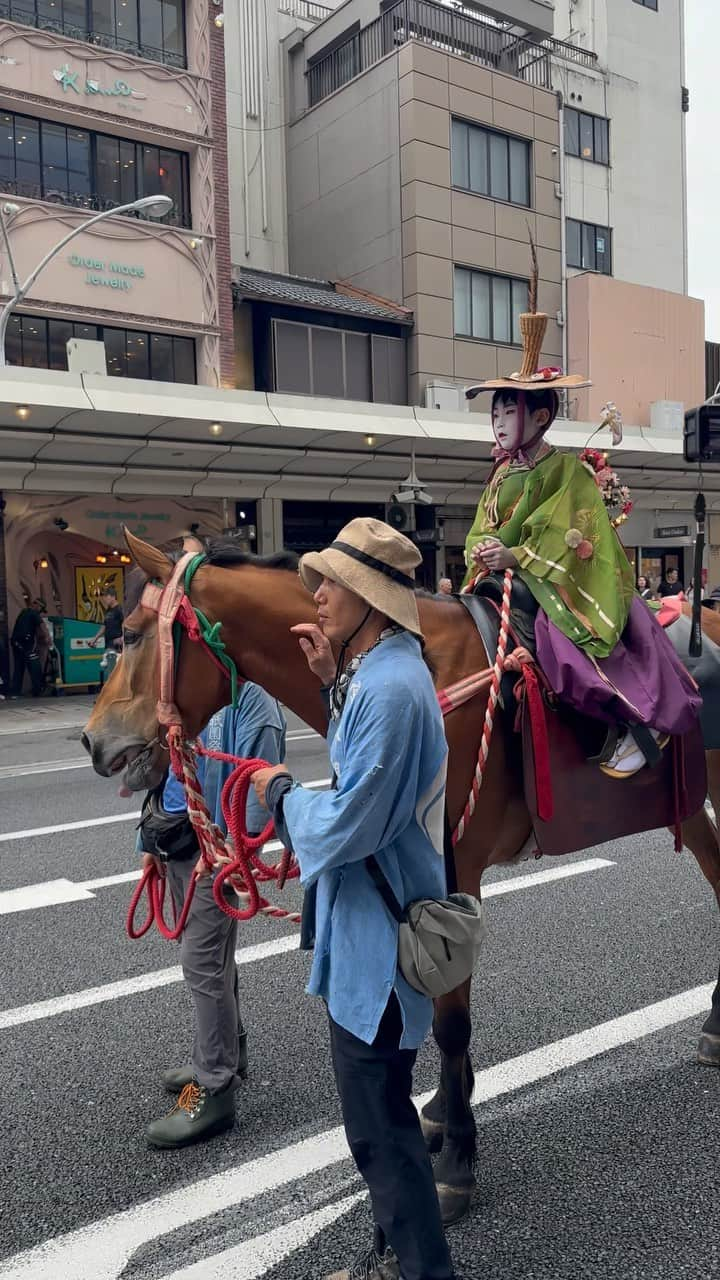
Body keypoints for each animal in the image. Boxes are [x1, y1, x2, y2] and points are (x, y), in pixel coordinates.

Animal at [81, 532, 717, 1228]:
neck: (424, 668)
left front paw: (457, 1163)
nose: (90, 741)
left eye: (132, 634)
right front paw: (442, 1109)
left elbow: (451, 1023)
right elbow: (439, 1012)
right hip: (692, 803)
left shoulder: (453, 866)